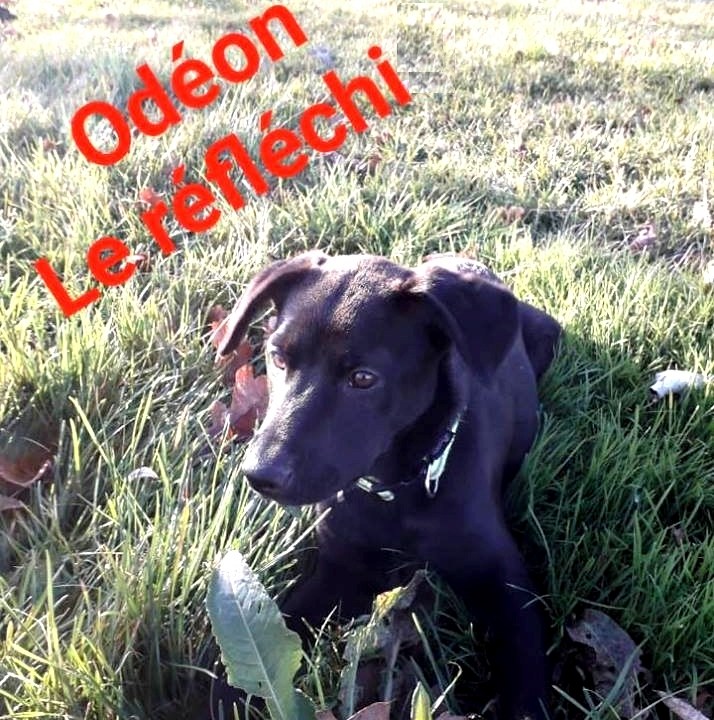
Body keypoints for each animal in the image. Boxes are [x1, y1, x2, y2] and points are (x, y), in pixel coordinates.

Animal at [215, 251, 561, 720]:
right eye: (277, 357)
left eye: (363, 378)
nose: (259, 475)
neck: (395, 489)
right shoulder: (338, 567)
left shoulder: (505, 581)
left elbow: (525, 671)